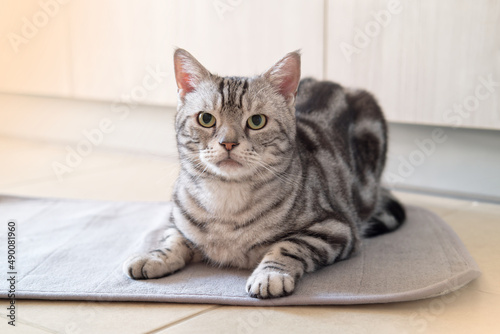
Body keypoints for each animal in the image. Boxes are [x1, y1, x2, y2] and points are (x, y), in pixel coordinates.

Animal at [122, 48, 406, 298]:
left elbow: (288, 246)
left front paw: (270, 275)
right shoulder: (178, 222)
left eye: (256, 121)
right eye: (206, 119)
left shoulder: (335, 226)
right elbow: (172, 239)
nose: (228, 143)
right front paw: (154, 256)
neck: (225, 202)